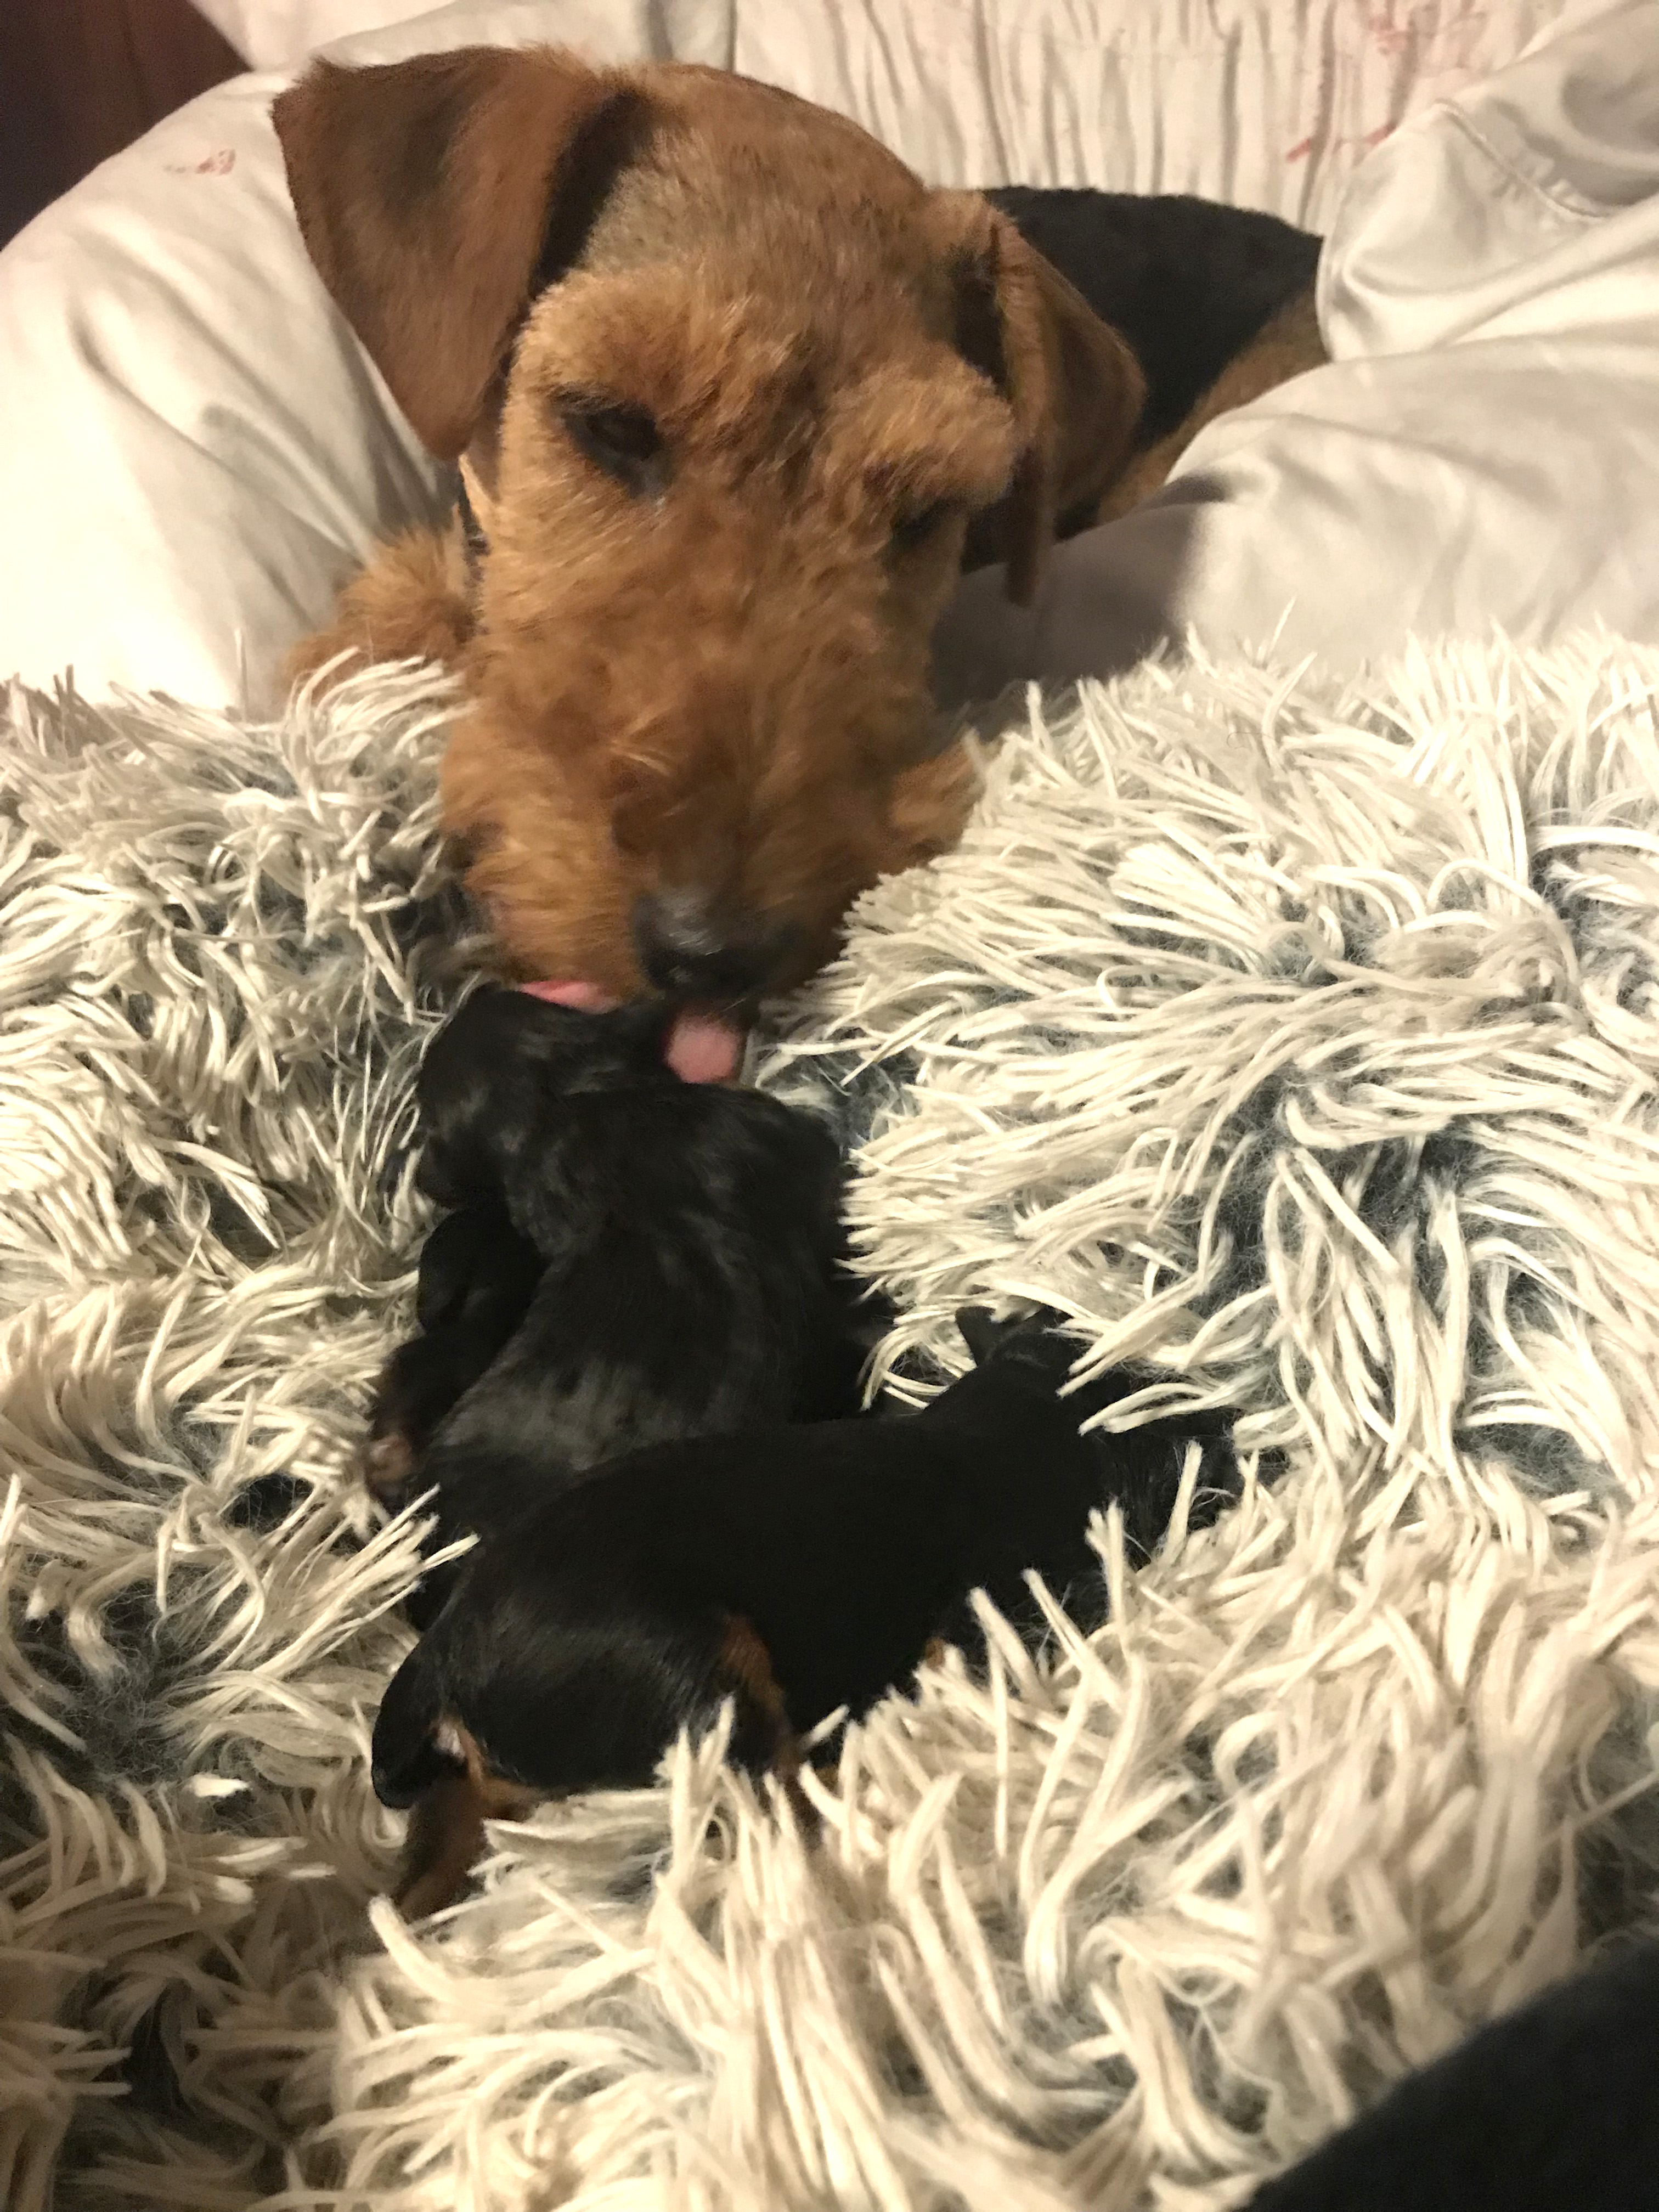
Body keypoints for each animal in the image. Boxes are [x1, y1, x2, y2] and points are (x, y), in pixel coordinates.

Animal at [371, 1306, 1235, 1915]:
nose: (1228, 1424)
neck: (1011, 1422)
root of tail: (440, 1662)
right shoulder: (988, 1618)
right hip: (698, 1676)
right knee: (771, 1809)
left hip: (506, 1766)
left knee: (434, 1844)